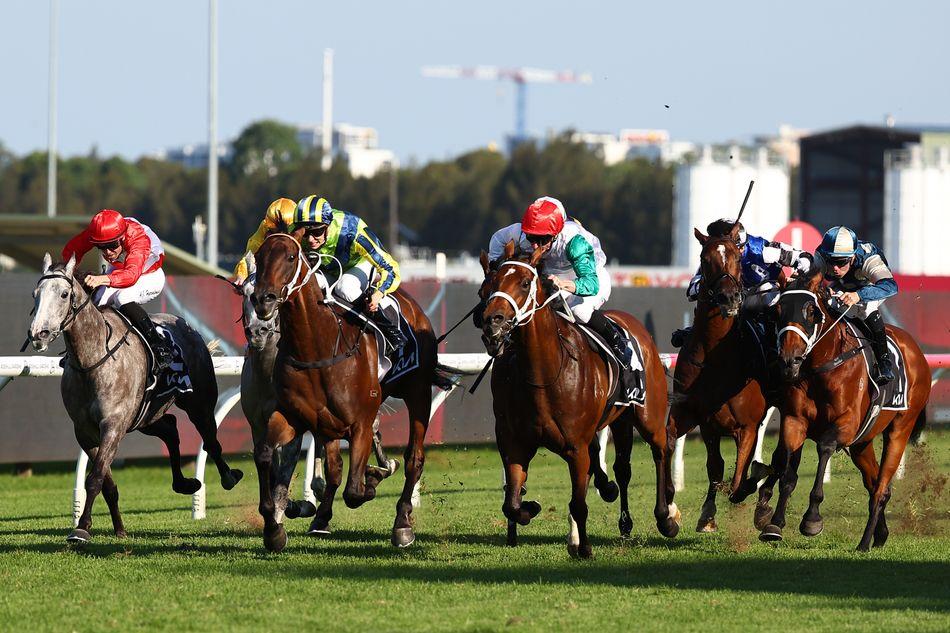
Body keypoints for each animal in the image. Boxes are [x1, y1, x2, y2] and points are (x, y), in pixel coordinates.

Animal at [30, 254, 245, 540]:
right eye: (35, 295)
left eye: (64, 294)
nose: (38, 334)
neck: (92, 359)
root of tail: (189, 328)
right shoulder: (85, 431)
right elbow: (106, 483)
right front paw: (119, 529)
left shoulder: (113, 425)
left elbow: (95, 478)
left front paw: (82, 527)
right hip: (145, 417)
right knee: (171, 429)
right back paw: (184, 483)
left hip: (199, 403)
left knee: (211, 441)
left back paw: (228, 477)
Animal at [253, 231, 446, 548]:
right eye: (258, 257)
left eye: (291, 257)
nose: (262, 299)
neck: (318, 348)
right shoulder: (296, 417)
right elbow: (265, 455)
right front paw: (274, 529)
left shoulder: (360, 423)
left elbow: (355, 491)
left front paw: (375, 476)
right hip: (330, 425)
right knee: (335, 470)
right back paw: (322, 518)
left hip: (418, 392)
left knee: (413, 459)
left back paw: (402, 523)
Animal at [484, 242, 676, 556]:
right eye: (491, 282)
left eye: (525, 283)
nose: (492, 321)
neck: (545, 373)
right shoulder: (515, 442)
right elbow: (511, 503)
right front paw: (531, 507)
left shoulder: (576, 446)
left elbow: (579, 502)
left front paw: (584, 548)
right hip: (620, 419)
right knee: (622, 468)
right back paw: (622, 519)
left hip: (649, 415)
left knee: (661, 449)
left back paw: (666, 517)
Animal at [672, 225, 776, 532]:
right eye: (705, 259)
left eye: (736, 257)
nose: (729, 298)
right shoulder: (707, 423)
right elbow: (715, 468)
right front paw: (706, 515)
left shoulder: (747, 426)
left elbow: (739, 481)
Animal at [764, 266, 932, 548]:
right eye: (777, 310)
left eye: (811, 311)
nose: (789, 360)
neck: (821, 368)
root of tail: (916, 349)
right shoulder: (795, 420)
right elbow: (787, 471)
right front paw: (774, 524)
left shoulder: (846, 423)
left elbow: (824, 447)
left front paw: (812, 519)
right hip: (862, 443)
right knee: (875, 484)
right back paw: (879, 535)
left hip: (900, 429)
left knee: (881, 487)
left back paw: (864, 543)